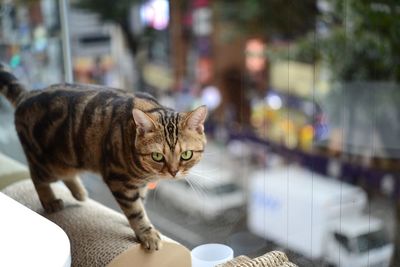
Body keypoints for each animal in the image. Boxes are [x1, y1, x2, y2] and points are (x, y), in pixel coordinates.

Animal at [0, 63, 206, 252]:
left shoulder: (139, 185)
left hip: (68, 160)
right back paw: (50, 201)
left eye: (186, 154)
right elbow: (135, 210)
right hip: (48, 164)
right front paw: (146, 232)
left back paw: (79, 192)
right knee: (36, 177)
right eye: (157, 156)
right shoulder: (119, 180)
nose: (173, 172)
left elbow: (139, 203)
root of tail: (27, 95)